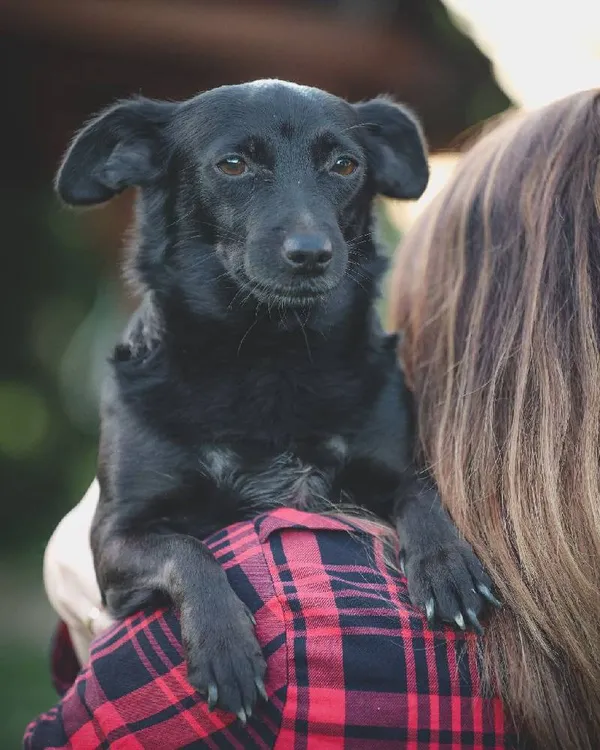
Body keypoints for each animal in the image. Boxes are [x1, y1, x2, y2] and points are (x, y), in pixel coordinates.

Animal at [56, 81, 500, 724]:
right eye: (233, 164)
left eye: (344, 165)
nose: (312, 252)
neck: (270, 354)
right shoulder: (115, 536)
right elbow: (188, 550)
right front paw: (225, 647)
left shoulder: (387, 469)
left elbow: (421, 492)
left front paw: (447, 565)